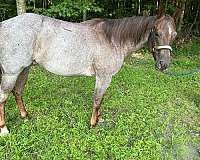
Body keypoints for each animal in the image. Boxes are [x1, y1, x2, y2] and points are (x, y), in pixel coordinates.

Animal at [0, 9, 177, 136]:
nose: (163, 64)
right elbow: (97, 100)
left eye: (174, 35)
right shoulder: (104, 77)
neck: (112, 40)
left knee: (18, 92)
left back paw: (25, 116)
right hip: (11, 73)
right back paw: (4, 129)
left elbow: (101, 99)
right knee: (3, 97)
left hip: (24, 69)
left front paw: (100, 119)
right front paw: (93, 124)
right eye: (156, 32)